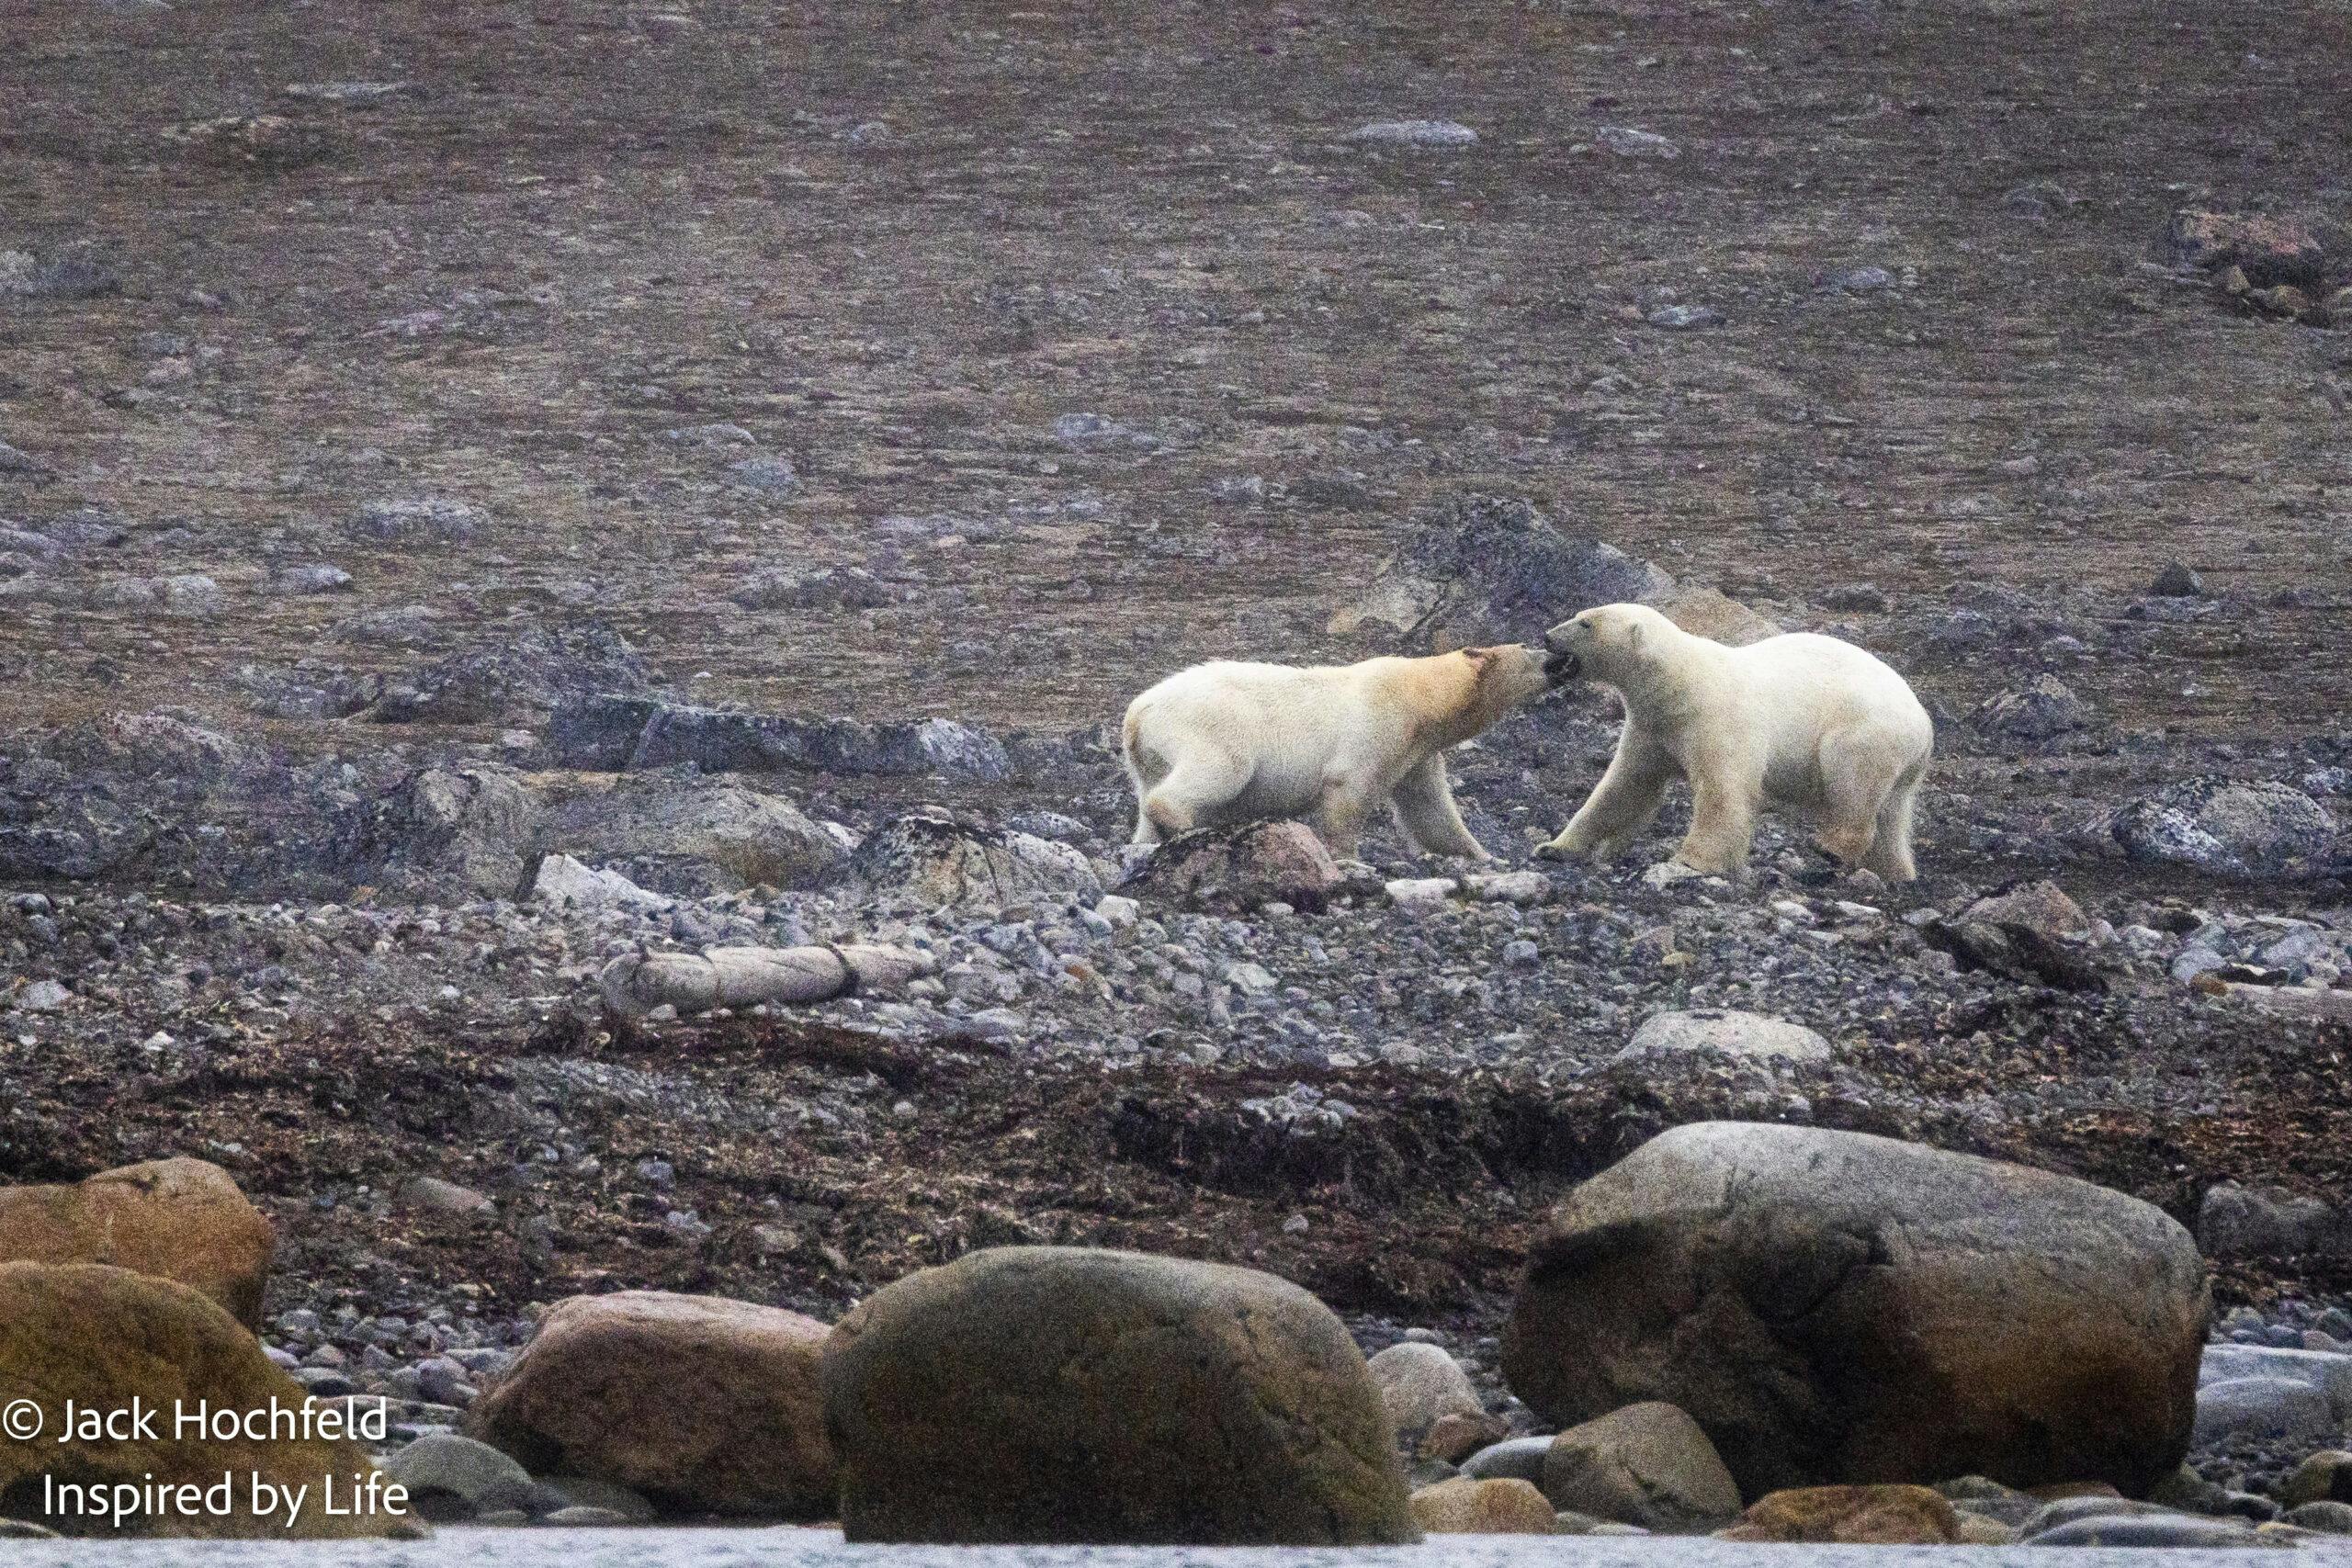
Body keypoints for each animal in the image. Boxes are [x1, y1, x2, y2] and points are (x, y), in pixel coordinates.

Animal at [1121, 645, 1559, 861]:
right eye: (1528, 650)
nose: (1560, 658)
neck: (1423, 697)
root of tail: (1138, 712)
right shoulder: (1380, 727)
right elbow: (1349, 791)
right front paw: (1350, 857)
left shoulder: (1418, 752)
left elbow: (1429, 807)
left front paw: (1487, 857)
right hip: (1211, 726)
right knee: (1224, 770)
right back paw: (1184, 823)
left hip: (1145, 759)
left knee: (1147, 797)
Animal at [1536, 603, 1932, 879]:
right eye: (1579, 614)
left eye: (1586, 623)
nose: (1547, 635)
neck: (1679, 684)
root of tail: (1925, 724)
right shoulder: (1653, 728)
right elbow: (1625, 787)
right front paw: (1554, 847)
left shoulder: (1717, 720)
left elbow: (1723, 791)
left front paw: (1693, 860)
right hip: (1903, 767)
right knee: (1894, 816)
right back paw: (1896, 872)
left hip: (1866, 732)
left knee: (1851, 783)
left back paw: (1831, 846)